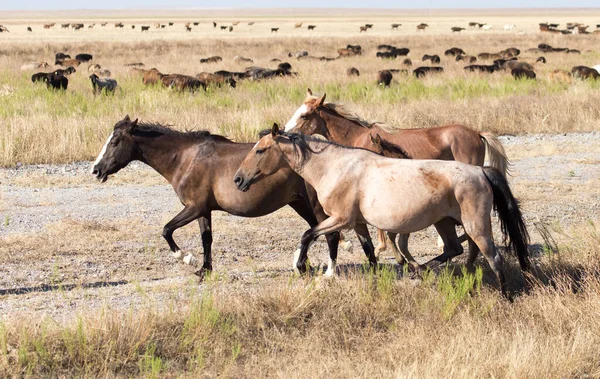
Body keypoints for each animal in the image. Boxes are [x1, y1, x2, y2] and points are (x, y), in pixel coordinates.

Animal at [90, 116, 370, 276]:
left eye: (114, 142)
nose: (96, 169)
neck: (185, 158)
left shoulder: (193, 207)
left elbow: (166, 230)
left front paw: (186, 258)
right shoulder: (203, 210)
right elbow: (206, 239)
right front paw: (204, 269)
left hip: (313, 205)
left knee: (329, 234)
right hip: (298, 203)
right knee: (317, 231)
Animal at [234, 126, 528, 298]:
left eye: (260, 150)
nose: (238, 179)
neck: (334, 167)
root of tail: (481, 171)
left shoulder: (340, 219)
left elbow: (308, 234)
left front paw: (300, 266)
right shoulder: (359, 224)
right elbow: (370, 254)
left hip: (476, 226)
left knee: (493, 257)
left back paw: (505, 297)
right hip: (445, 223)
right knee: (457, 249)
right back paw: (426, 271)